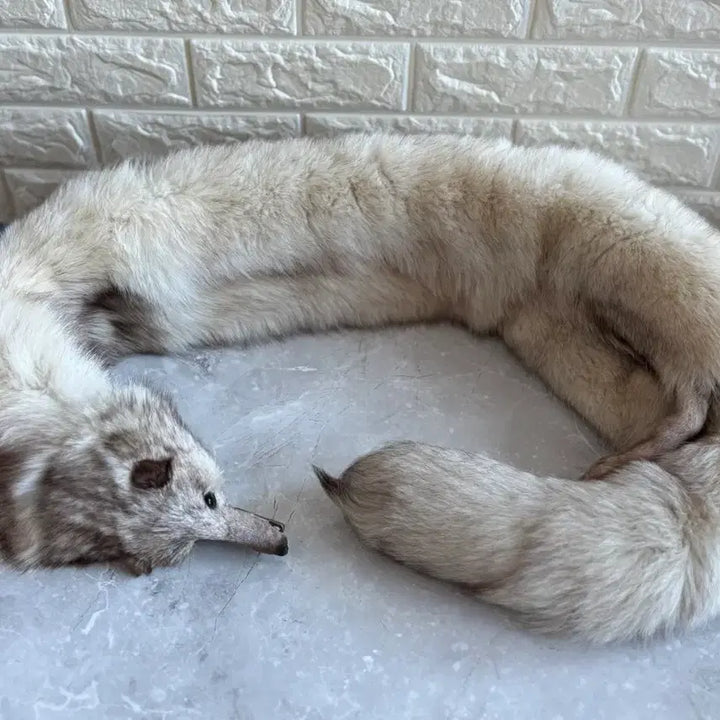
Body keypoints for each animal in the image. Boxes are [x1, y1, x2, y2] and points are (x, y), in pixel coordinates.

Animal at [1, 132, 720, 639]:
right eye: (184, 548)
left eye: (209, 498)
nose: (279, 540)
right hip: (560, 339)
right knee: (658, 400)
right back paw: (628, 453)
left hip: (632, 268)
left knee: (691, 380)